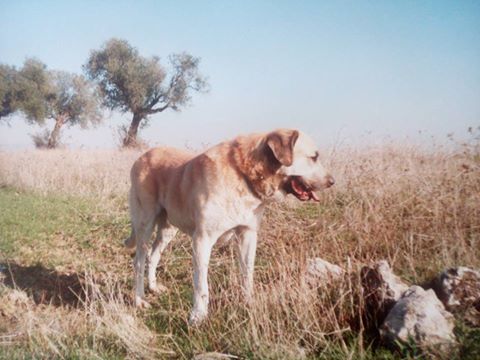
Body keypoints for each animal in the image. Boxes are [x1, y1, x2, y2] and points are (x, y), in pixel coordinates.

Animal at [124, 129, 334, 324]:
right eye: (314, 157)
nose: (332, 182)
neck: (243, 175)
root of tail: (143, 156)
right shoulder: (202, 240)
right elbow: (201, 284)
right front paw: (198, 316)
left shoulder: (247, 235)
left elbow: (247, 273)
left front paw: (249, 302)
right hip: (145, 224)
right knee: (139, 261)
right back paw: (139, 299)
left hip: (168, 229)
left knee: (153, 255)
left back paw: (153, 287)